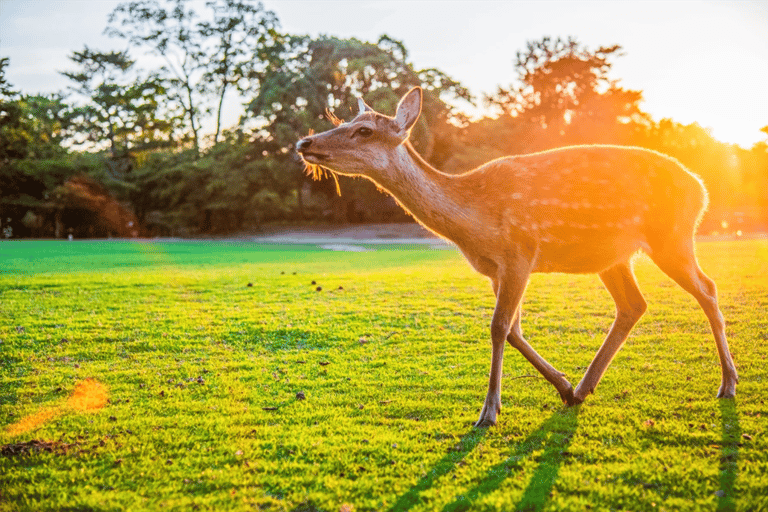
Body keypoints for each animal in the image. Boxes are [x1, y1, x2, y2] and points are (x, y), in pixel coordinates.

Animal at [296, 88, 736, 428]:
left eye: (364, 130)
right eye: (343, 119)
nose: (305, 143)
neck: (472, 224)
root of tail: (702, 189)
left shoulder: (520, 253)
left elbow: (498, 327)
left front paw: (488, 412)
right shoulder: (496, 269)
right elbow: (513, 330)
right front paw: (562, 385)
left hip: (672, 237)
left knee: (708, 288)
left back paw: (728, 383)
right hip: (613, 256)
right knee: (634, 305)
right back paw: (583, 388)